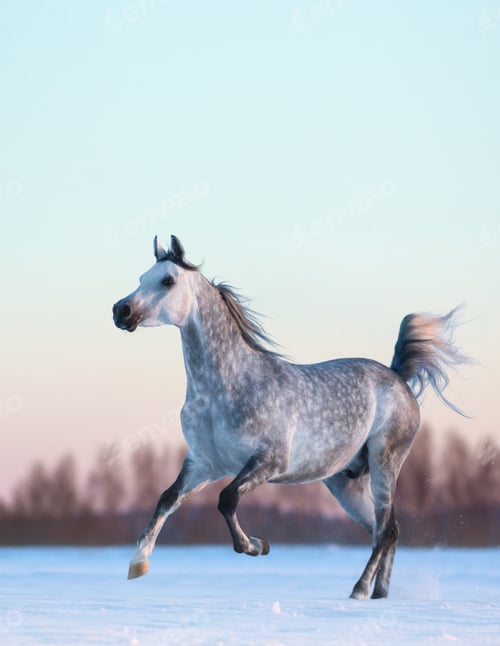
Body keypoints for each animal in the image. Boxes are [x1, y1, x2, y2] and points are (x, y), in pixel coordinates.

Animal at [112, 235, 468, 599]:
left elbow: (226, 500)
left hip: (385, 462)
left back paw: (359, 589)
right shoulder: (204, 464)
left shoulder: (269, 461)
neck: (226, 387)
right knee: (385, 530)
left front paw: (257, 545)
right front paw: (137, 564)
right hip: (345, 482)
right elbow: (167, 499)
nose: (120, 311)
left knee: (385, 531)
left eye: (168, 281)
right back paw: (379, 594)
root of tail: (397, 376)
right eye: (141, 278)